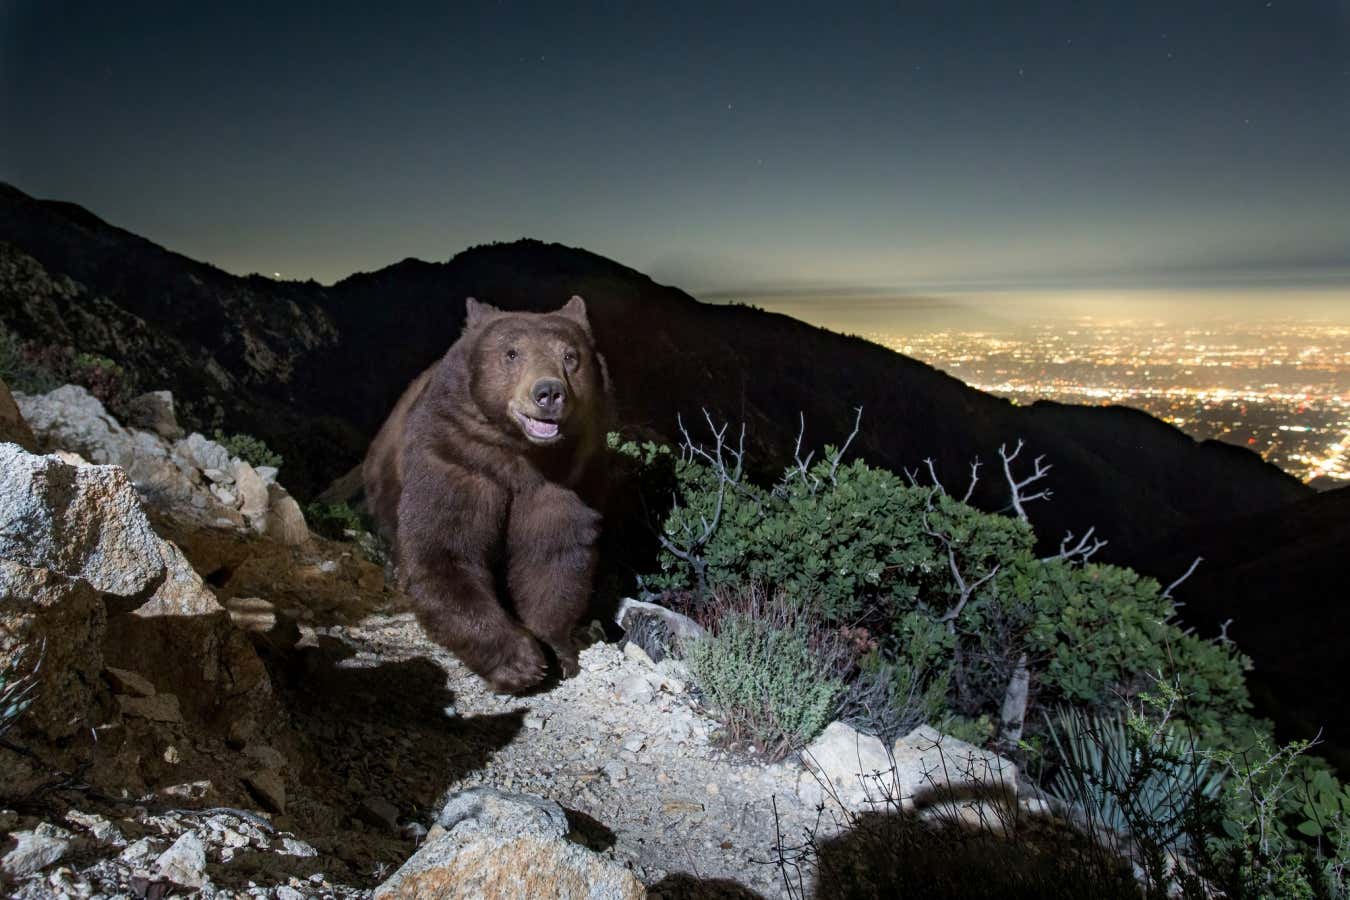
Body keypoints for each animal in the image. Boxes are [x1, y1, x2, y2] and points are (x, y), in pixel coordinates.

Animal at [363, 295, 611, 693]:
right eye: (512, 353)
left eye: (571, 356)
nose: (548, 392)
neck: (520, 457)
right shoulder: (457, 460)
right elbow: (445, 551)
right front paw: (520, 661)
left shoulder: (567, 481)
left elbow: (552, 557)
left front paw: (558, 649)